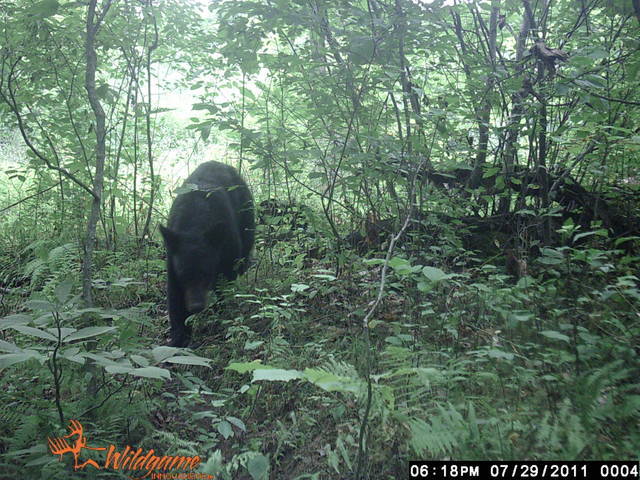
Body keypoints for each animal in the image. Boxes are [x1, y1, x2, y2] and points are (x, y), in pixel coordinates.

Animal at [159, 161, 254, 347]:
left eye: (205, 273)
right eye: (184, 275)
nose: (195, 306)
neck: (194, 225)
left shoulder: (226, 249)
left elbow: (224, 283)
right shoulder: (173, 259)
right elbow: (174, 296)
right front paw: (178, 338)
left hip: (246, 213)